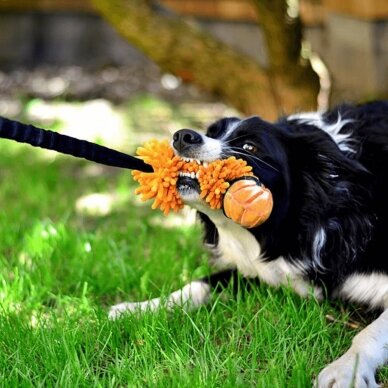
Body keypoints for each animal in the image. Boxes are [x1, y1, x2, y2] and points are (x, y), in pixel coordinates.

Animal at [109, 101, 388, 388]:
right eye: (212, 132)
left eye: (250, 147)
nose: (182, 136)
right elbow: (199, 284)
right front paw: (137, 309)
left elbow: (369, 332)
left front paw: (346, 371)